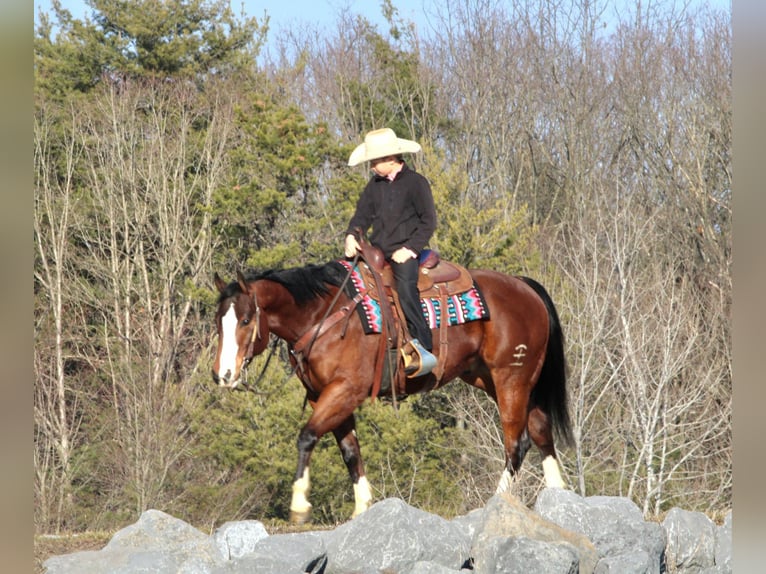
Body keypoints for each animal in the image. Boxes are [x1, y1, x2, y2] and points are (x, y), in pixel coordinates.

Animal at [212, 257, 572, 522]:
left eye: (245, 320)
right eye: (219, 321)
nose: (223, 374)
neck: (324, 316)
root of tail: (524, 286)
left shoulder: (345, 391)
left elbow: (307, 435)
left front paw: (299, 504)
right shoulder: (324, 396)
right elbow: (350, 451)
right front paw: (362, 508)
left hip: (511, 379)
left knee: (517, 443)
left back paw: (497, 501)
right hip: (501, 381)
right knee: (541, 431)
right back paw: (559, 498)